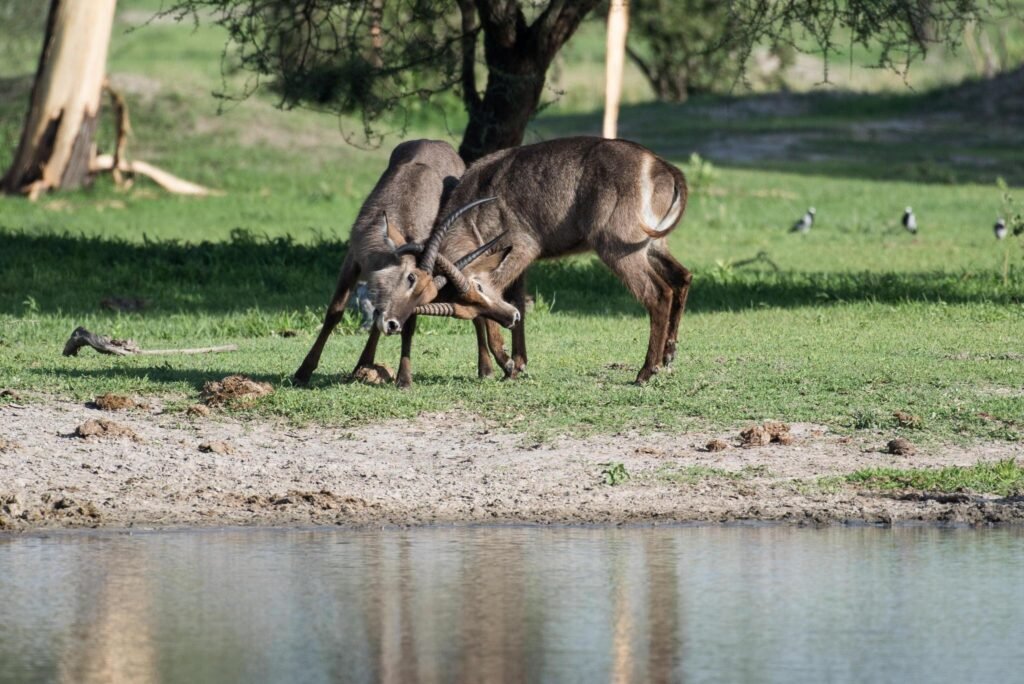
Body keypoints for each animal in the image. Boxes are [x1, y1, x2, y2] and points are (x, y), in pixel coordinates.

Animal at [294, 139, 520, 387]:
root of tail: (434, 141)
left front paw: (404, 380)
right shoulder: (352, 261)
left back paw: (487, 369)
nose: (393, 325)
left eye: (424, 296)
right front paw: (303, 372)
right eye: (410, 277)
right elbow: (335, 312)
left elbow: (409, 328)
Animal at [368, 136, 688, 385]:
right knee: (682, 278)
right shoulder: (514, 264)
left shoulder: (523, 248)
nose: (392, 323)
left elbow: (504, 291)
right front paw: (517, 362)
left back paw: (646, 371)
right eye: (465, 311)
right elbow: (518, 301)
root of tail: (659, 165)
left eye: (478, 288)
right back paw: (668, 356)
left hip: (617, 248)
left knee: (658, 293)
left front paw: (507, 363)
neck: (478, 200)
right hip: (651, 246)